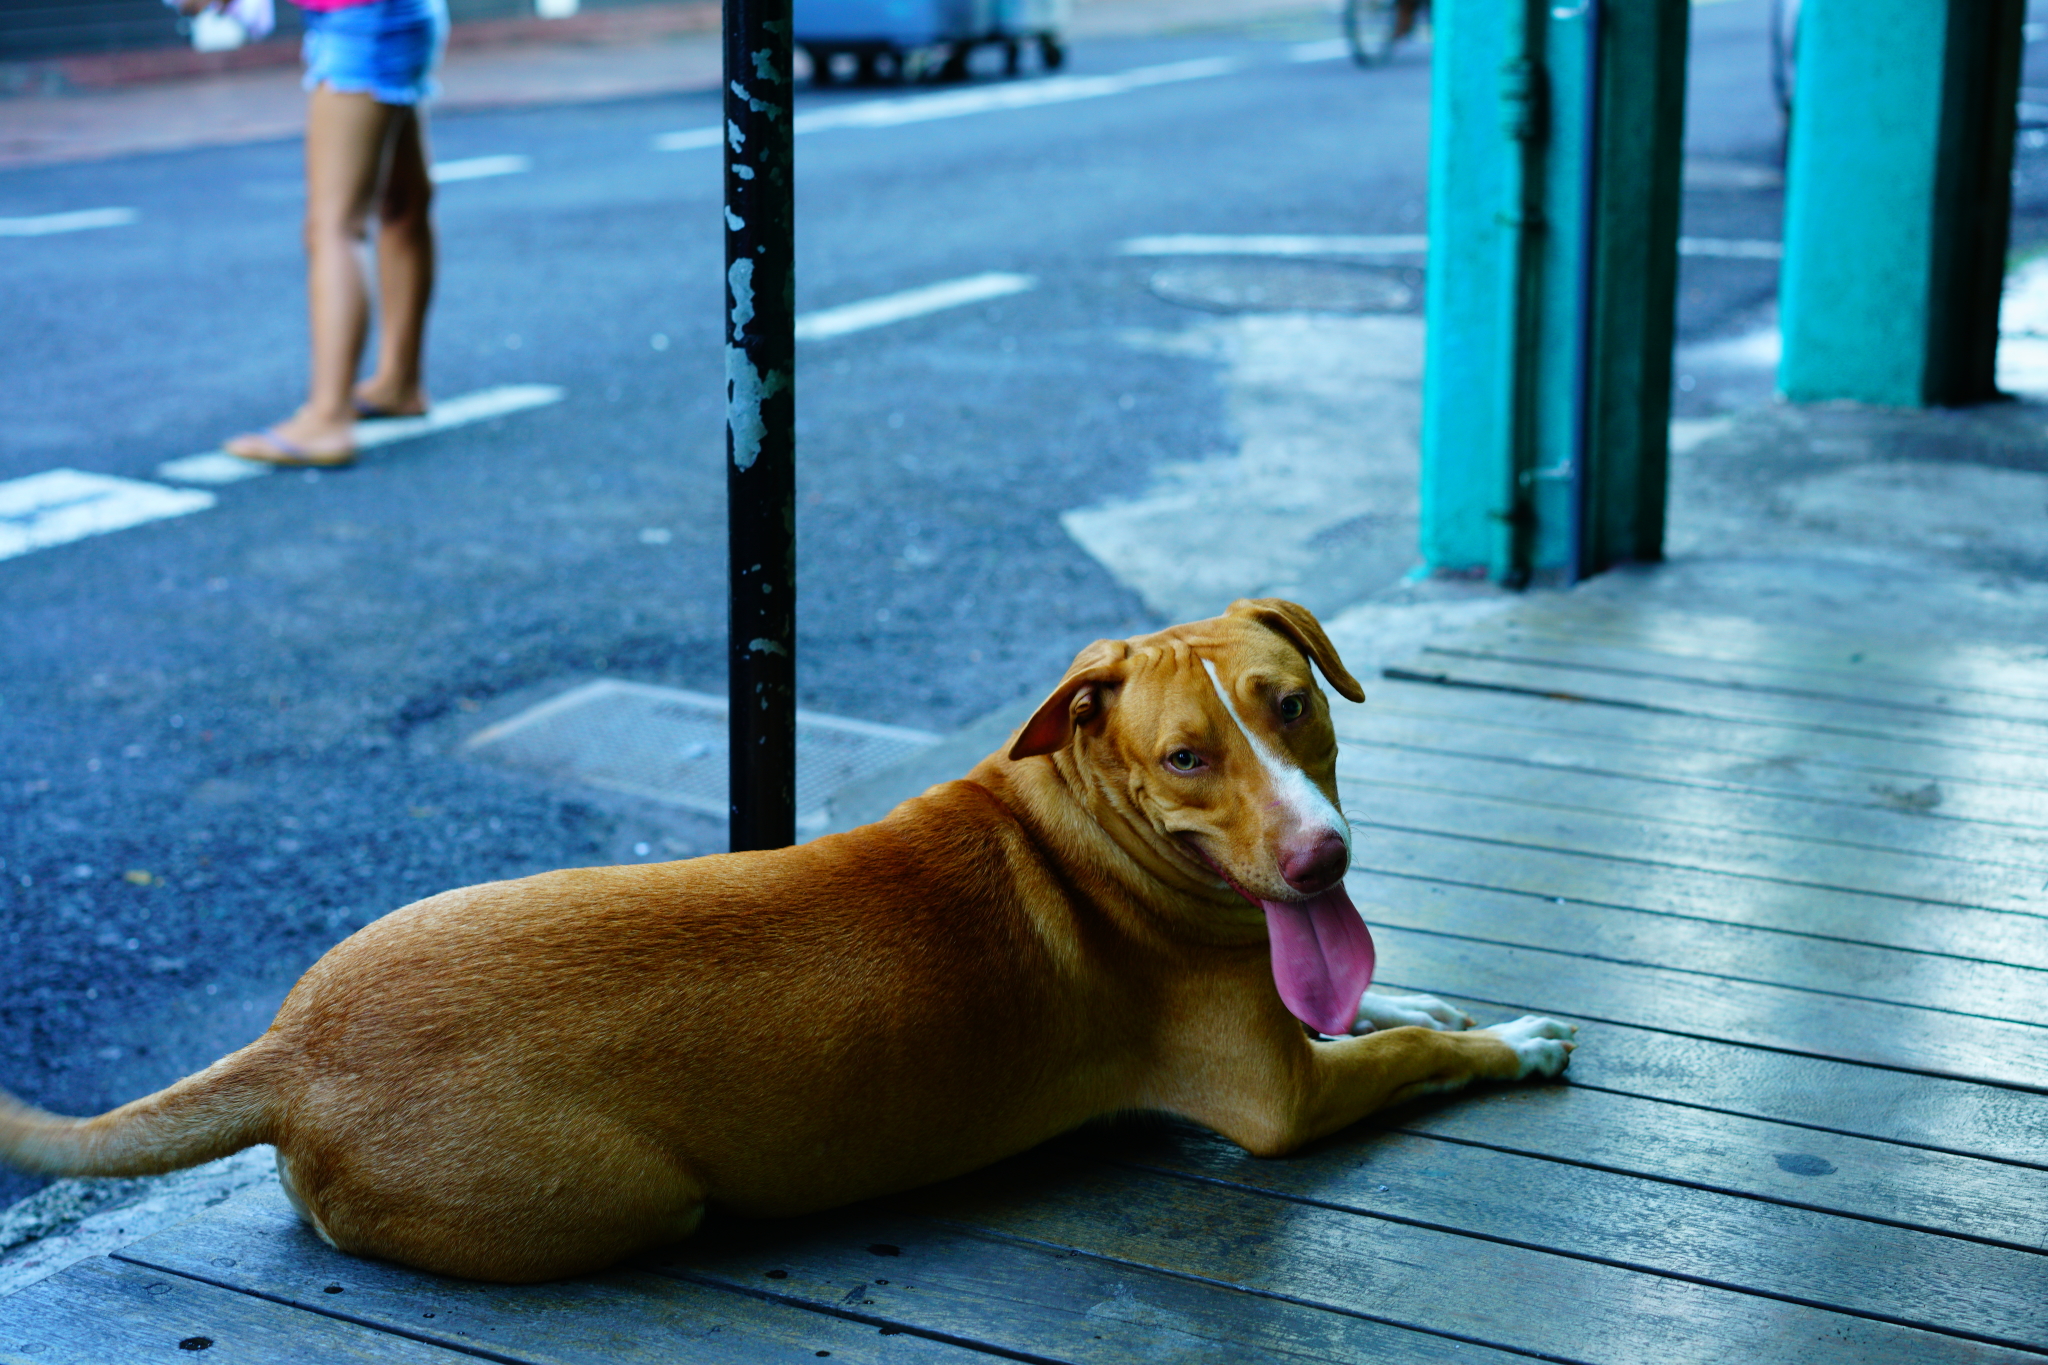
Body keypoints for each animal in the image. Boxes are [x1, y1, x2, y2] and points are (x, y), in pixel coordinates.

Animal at [0, 597, 1572, 1285]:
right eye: (1187, 756)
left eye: (1291, 703)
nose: (1322, 858)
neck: (1081, 822)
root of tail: (288, 1048)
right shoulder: (1281, 1098)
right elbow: (1406, 1055)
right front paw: (1514, 1039)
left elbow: (1384, 1002)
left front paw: (1443, 994)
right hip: (627, 1194)